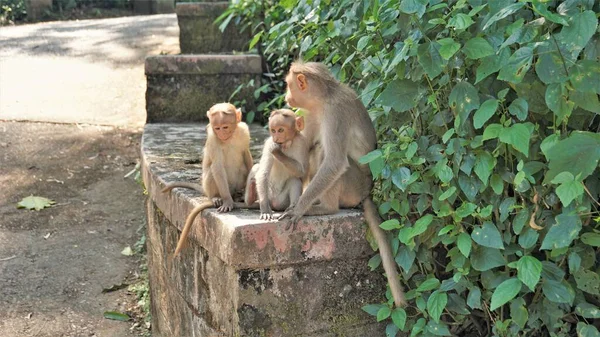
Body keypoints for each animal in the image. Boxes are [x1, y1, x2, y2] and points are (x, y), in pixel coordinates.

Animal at [162, 102, 253, 255]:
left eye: (225, 127)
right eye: (217, 128)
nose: (221, 133)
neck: (229, 138)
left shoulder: (244, 131)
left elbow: (246, 155)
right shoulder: (213, 139)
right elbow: (217, 166)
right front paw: (227, 201)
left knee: (243, 169)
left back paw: (238, 194)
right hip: (210, 186)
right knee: (212, 171)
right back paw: (217, 197)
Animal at [278, 61, 406, 308]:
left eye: (289, 85)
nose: (286, 96)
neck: (323, 99)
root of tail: (367, 191)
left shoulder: (335, 114)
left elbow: (335, 162)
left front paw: (299, 208)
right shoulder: (311, 114)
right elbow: (302, 159)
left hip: (353, 186)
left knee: (325, 154)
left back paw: (325, 208)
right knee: (316, 149)